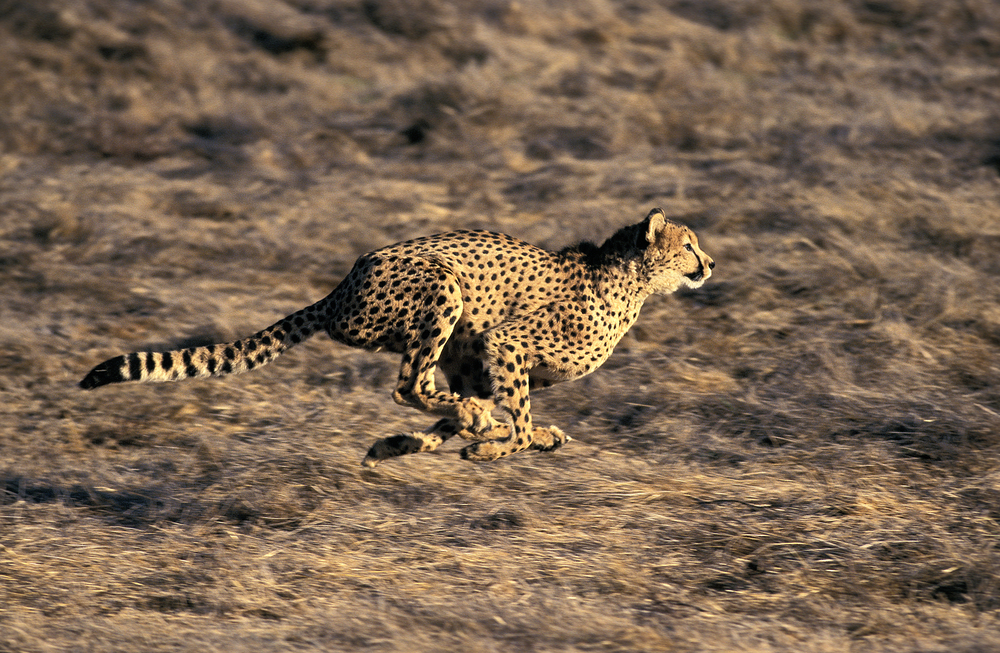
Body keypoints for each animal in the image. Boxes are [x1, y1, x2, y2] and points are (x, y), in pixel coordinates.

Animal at [82, 209, 716, 464]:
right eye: (688, 245)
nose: (710, 264)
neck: (629, 280)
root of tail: (344, 283)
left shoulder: (476, 360)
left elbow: (476, 415)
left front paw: (408, 443)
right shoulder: (505, 344)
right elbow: (514, 418)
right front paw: (496, 445)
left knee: (424, 390)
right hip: (443, 287)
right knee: (407, 385)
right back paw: (479, 426)